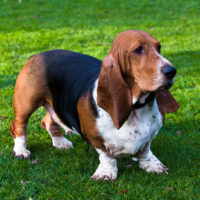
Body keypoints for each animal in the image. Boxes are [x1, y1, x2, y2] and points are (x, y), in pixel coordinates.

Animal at [9, 30, 180, 181]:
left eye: (159, 47)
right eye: (138, 49)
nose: (172, 71)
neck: (136, 107)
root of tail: (37, 55)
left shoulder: (151, 134)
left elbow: (145, 150)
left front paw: (152, 165)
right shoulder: (96, 138)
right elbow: (106, 156)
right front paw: (106, 173)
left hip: (54, 103)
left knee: (48, 120)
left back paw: (60, 142)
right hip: (26, 103)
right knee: (18, 126)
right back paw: (21, 150)